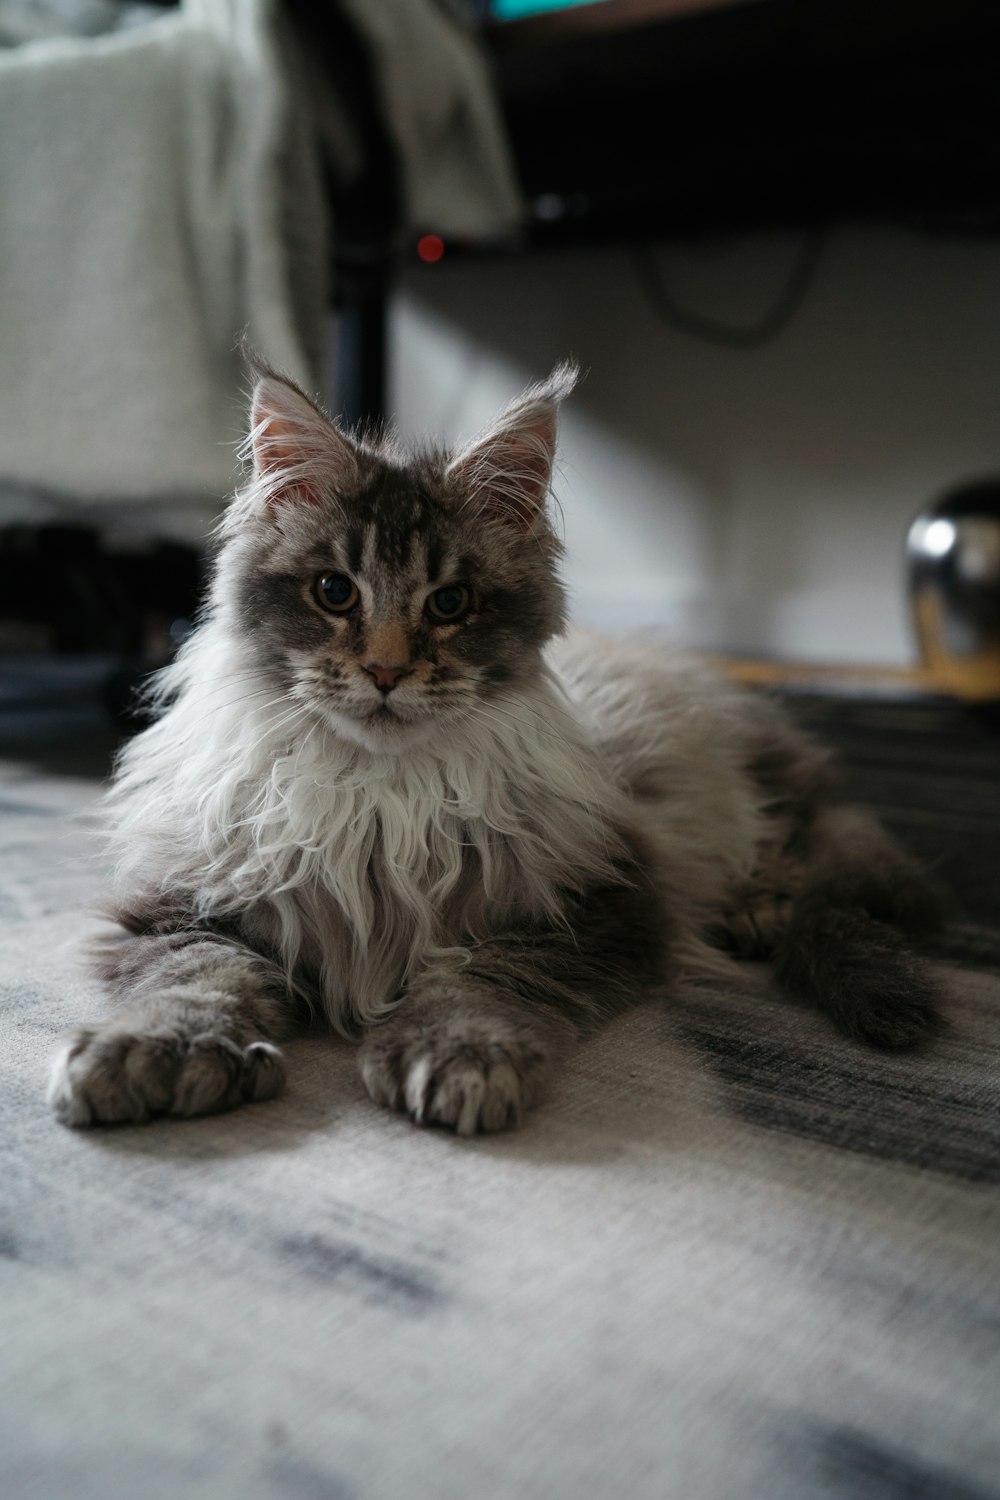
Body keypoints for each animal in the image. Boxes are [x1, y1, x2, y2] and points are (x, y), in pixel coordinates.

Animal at [50, 360, 947, 1134]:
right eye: (334, 592)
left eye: (450, 604)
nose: (385, 671)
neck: (380, 801)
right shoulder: (180, 906)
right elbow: (202, 978)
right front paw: (156, 1050)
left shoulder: (593, 905)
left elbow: (481, 976)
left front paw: (456, 1054)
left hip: (755, 796)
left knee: (822, 850)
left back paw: (762, 906)